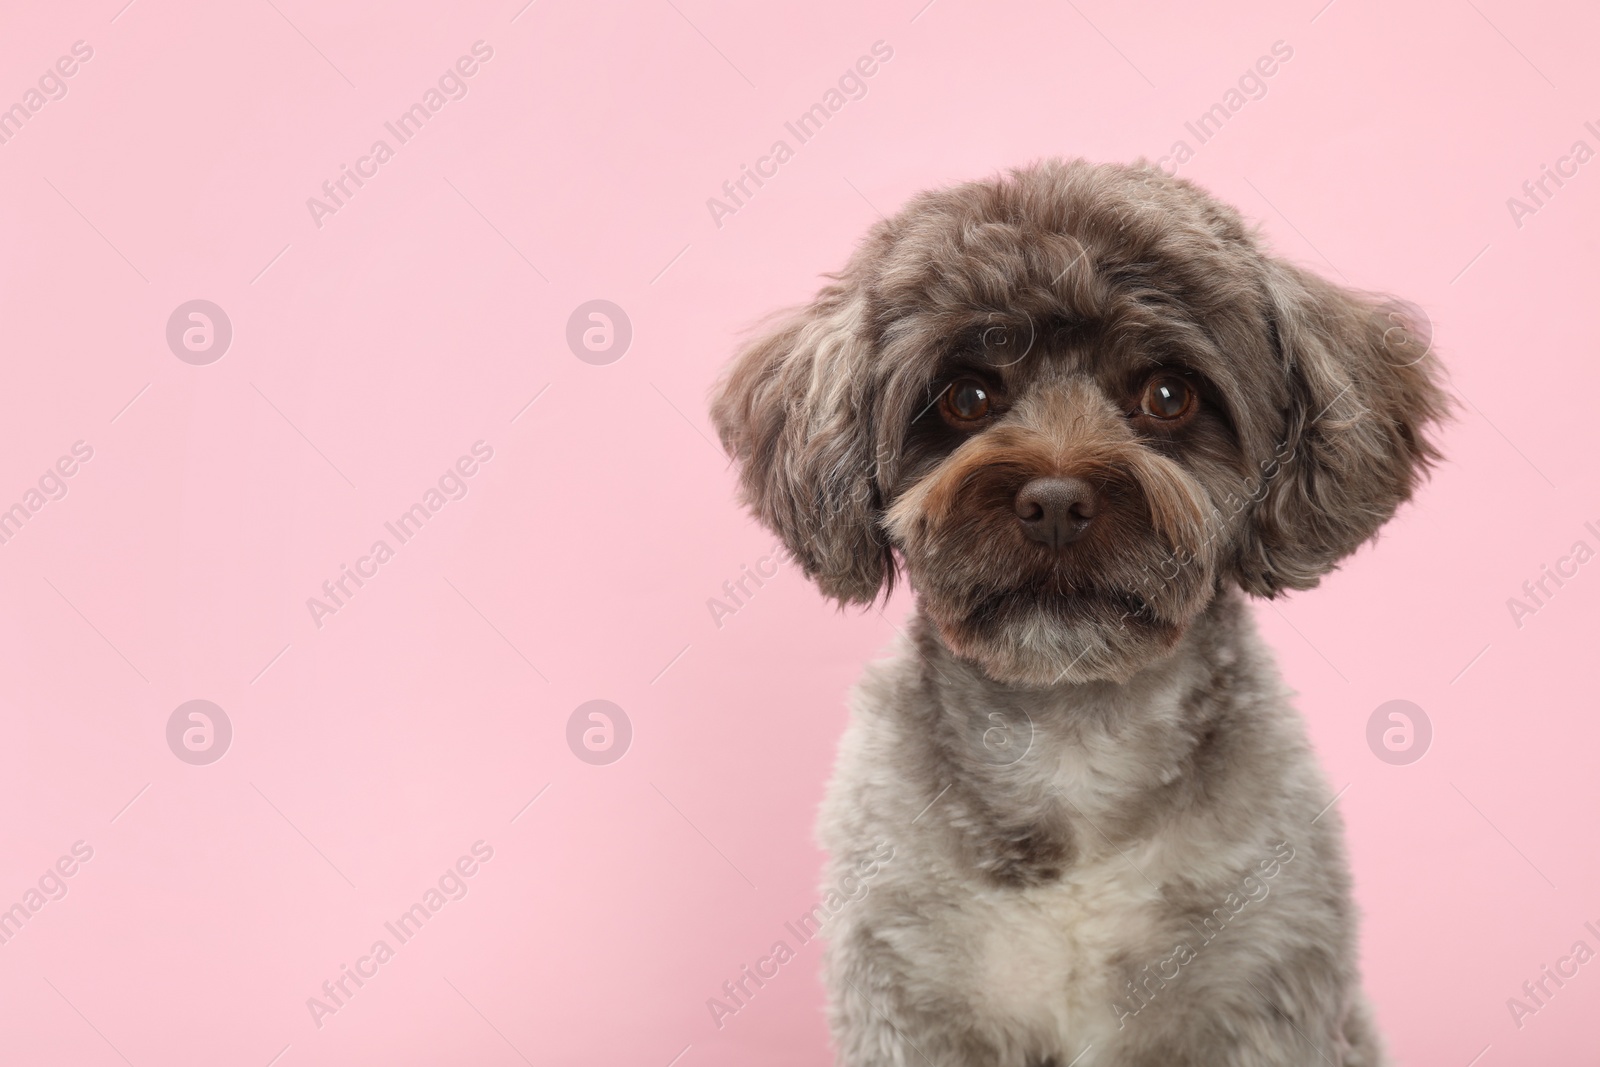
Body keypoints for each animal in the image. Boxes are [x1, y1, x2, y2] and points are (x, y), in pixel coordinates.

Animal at [707, 160, 1446, 1067]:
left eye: (1167, 393)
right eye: (966, 395)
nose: (1055, 501)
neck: (1071, 742)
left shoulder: (1261, 994)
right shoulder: (912, 1002)